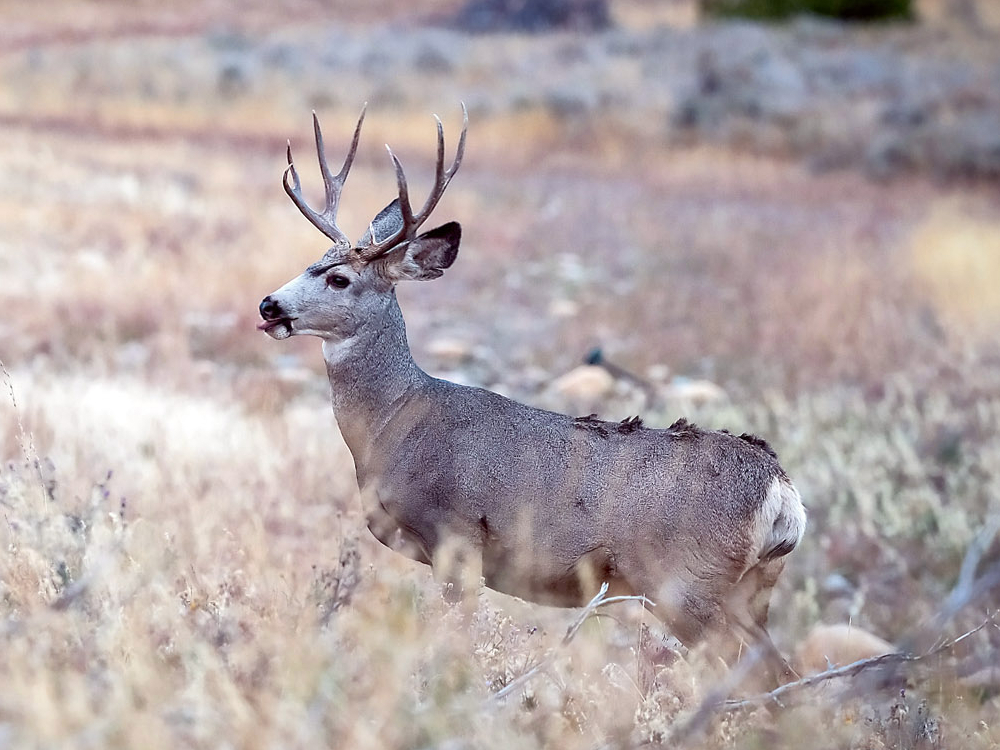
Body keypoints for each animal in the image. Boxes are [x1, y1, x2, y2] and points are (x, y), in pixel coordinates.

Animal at [256, 106, 804, 688]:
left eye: (338, 279)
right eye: (311, 262)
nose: (269, 305)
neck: (395, 424)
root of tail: (783, 492)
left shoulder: (456, 538)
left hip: (686, 584)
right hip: (749, 591)